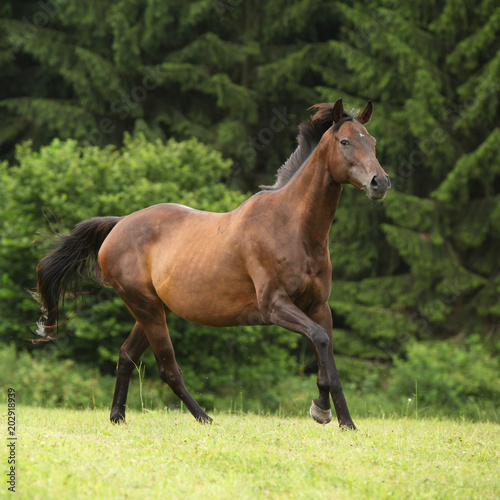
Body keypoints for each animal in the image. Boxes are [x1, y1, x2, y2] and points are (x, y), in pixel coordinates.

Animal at [36, 99, 390, 428]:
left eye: (372, 141)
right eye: (345, 142)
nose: (380, 183)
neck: (293, 228)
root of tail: (120, 224)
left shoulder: (319, 307)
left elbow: (328, 356)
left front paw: (344, 421)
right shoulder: (274, 306)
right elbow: (319, 340)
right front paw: (321, 409)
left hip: (154, 309)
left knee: (127, 355)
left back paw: (118, 417)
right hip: (146, 308)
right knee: (167, 368)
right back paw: (204, 418)